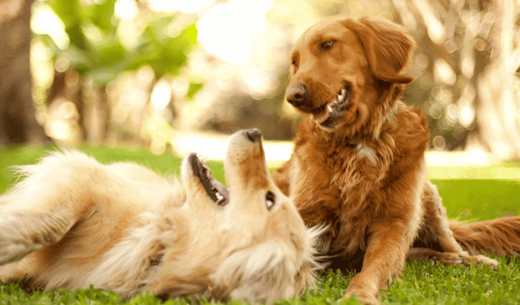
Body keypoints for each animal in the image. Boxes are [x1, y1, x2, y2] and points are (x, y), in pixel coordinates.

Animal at [272, 15, 520, 302]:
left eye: (328, 44)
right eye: (295, 62)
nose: (293, 96)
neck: (360, 142)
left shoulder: (394, 223)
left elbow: (374, 268)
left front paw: (357, 296)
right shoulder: (305, 213)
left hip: (428, 198)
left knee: (450, 245)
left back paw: (471, 260)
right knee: (417, 254)